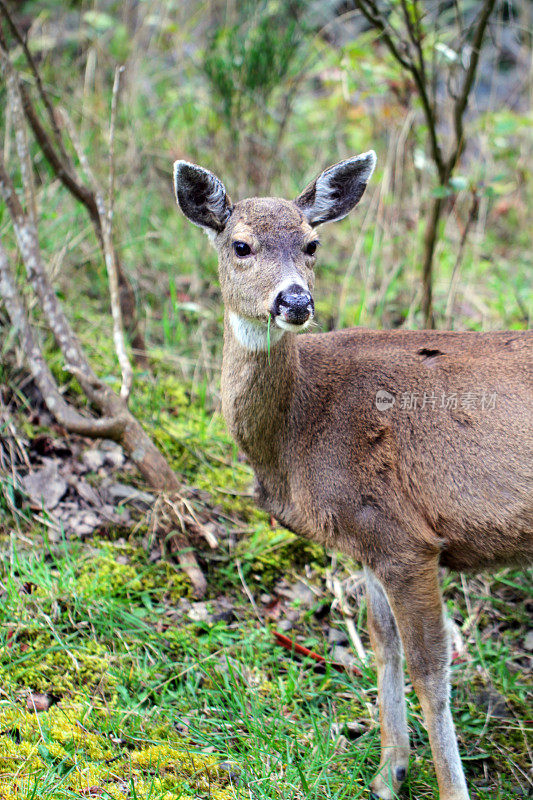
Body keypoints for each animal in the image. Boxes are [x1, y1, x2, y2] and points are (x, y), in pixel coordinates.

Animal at [172, 152, 528, 800]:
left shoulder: (408, 539)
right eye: (240, 244)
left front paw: (447, 786)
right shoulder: (366, 535)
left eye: (312, 244)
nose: (295, 301)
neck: (299, 431)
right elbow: (384, 647)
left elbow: (430, 669)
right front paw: (390, 772)